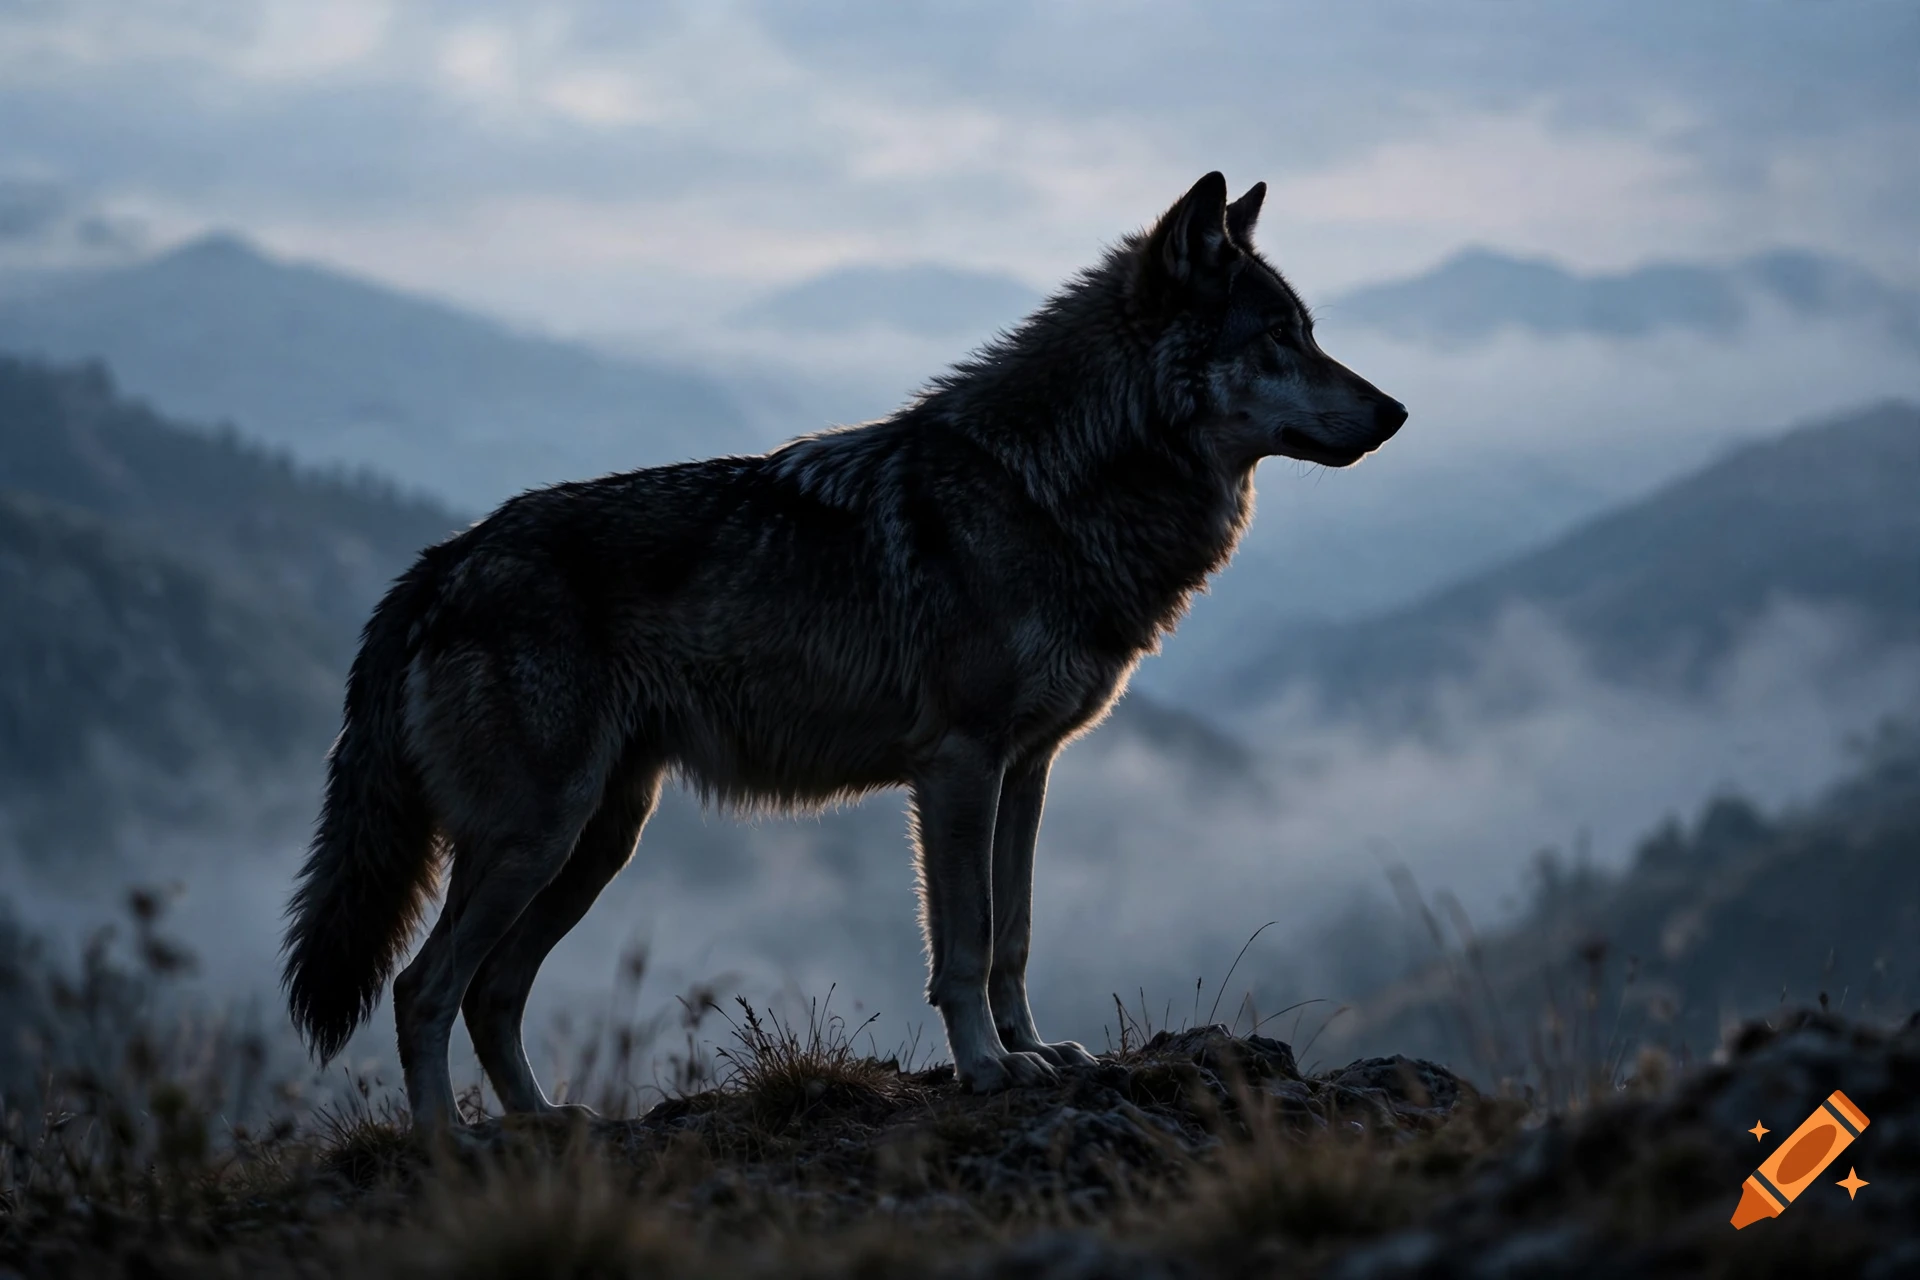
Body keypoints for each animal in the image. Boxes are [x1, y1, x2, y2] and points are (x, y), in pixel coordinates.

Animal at [281, 172, 1405, 1128]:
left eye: (1311, 333)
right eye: (1283, 335)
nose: (1396, 411)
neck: (1048, 488)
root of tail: (442, 560)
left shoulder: (1029, 770)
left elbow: (1015, 937)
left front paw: (1037, 1051)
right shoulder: (958, 767)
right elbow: (964, 942)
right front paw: (986, 1066)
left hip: (596, 840)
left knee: (492, 992)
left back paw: (544, 1122)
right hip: (537, 835)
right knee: (425, 987)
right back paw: (448, 1145)